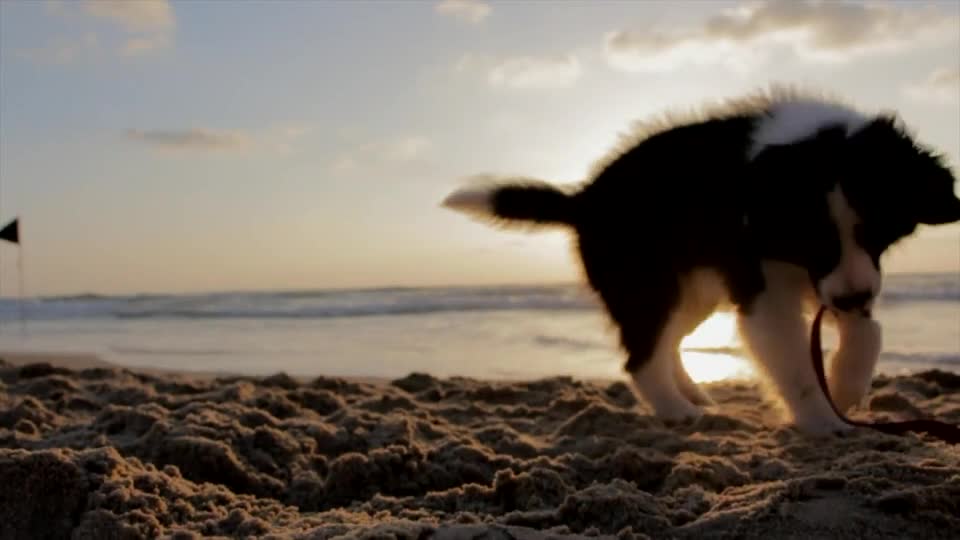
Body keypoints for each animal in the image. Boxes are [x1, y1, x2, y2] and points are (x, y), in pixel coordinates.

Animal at [442, 87, 960, 434]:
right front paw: (821, 419)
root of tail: (585, 199)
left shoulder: (843, 277)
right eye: (811, 237)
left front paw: (845, 385)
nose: (854, 300)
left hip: (693, 291)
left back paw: (694, 395)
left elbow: (868, 332)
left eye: (878, 231)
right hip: (647, 285)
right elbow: (794, 360)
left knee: (668, 342)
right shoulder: (767, 290)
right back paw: (677, 411)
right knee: (641, 357)